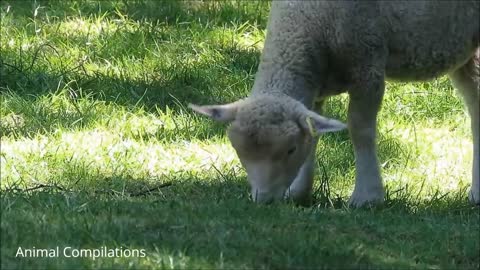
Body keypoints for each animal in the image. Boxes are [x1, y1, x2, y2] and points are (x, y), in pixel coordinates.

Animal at [190, 1, 480, 207]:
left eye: (290, 150)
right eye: (238, 150)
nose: (264, 201)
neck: (305, 21)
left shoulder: (367, 63)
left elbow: (360, 130)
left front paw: (367, 196)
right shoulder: (317, 84)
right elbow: (314, 134)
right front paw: (299, 192)